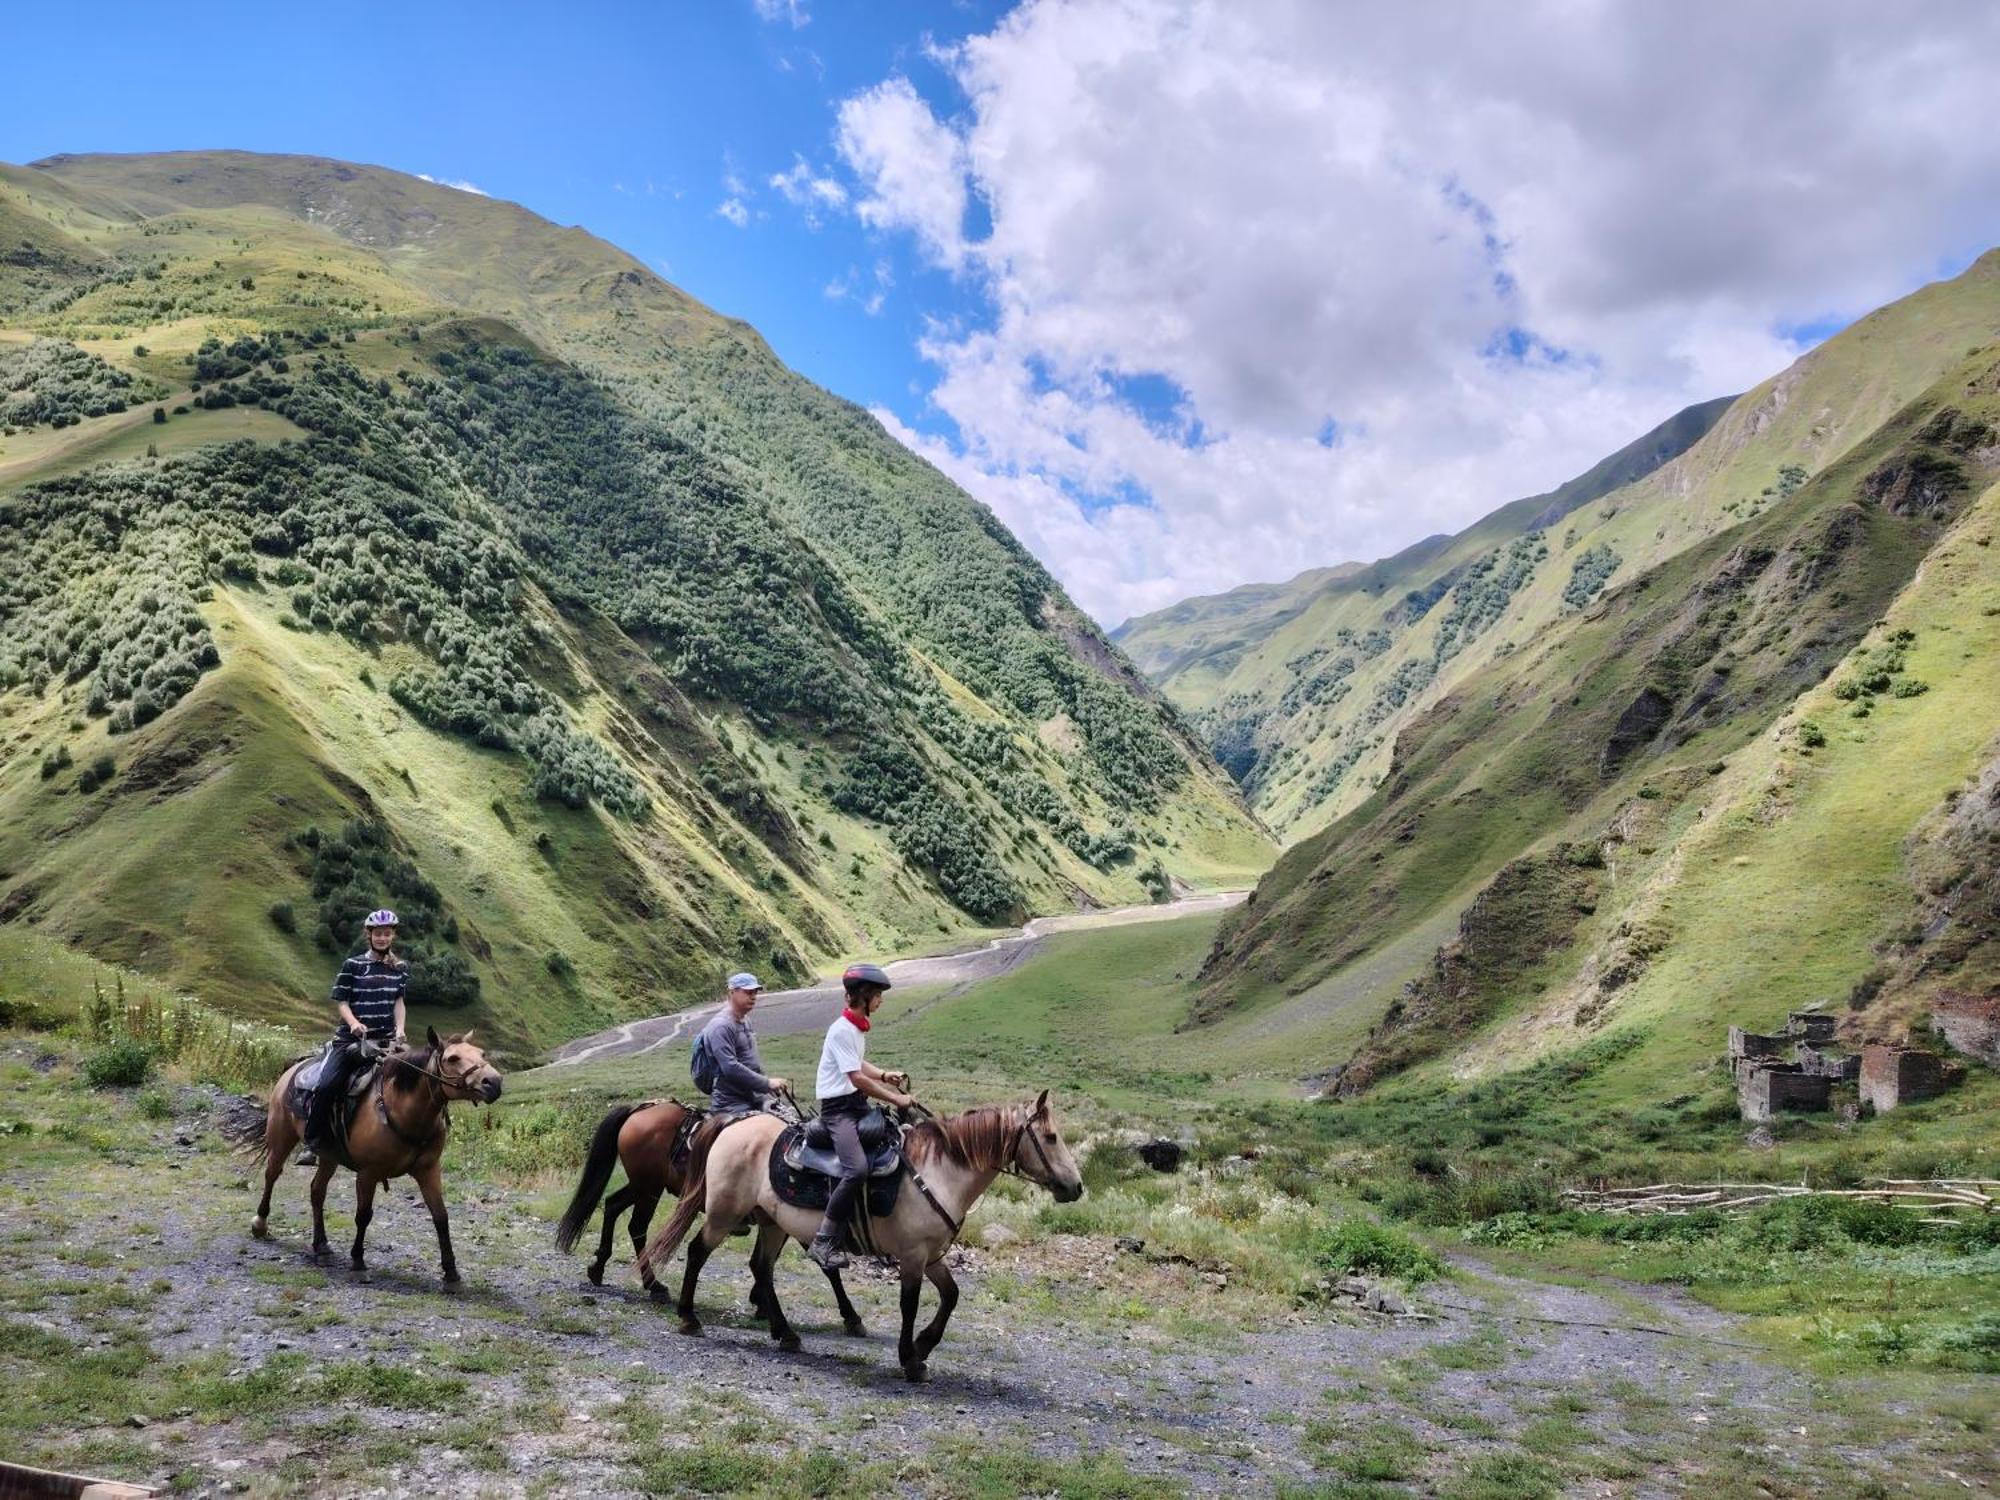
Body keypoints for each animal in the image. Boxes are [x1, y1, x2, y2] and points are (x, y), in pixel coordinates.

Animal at [230, 1032, 504, 1288]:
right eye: (452, 1058)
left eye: (481, 1054)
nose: (494, 1082)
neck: (400, 1109)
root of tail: (294, 1070)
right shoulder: (368, 1173)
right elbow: (363, 1215)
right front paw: (358, 1262)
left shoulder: (428, 1171)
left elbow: (441, 1217)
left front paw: (451, 1273)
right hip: (281, 1137)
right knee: (272, 1174)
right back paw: (260, 1223)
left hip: (329, 1156)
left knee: (317, 1191)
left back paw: (321, 1245)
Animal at [552, 1096, 864, 1336]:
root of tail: (639, 1110)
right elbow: (825, 1267)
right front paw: (851, 1317)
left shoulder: (778, 1221)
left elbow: (768, 1260)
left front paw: (760, 1301)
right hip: (649, 1190)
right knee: (636, 1226)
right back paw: (653, 1285)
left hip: (643, 1186)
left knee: (612, 1205)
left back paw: (598, 1268)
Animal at [636, 1096, 1080, 1384]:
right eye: (1051, 1137)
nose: (1076, 1187)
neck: (938, 1172)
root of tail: (733, 1124)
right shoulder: (912, 1256)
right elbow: (909, 1305)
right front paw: (910, 1359)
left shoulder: (932, 1256)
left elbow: (951, 1296)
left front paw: (924, 1345)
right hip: (724, 1214)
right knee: (697, 1251)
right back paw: (689, 1317)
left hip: (773, 1223)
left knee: (761, 1269)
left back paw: (786, 1334)